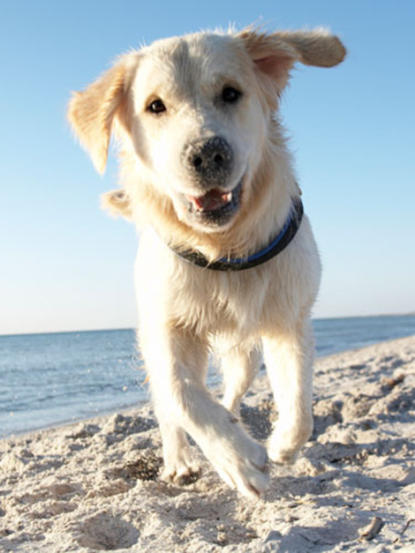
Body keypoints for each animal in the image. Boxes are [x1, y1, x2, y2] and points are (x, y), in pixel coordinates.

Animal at [69, 28, 348, 498]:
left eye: (231, 93)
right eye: (155, 106)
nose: (207, 154)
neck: (224, 250)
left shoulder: (288, 318)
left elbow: (300, 408)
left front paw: (280, 446)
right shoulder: (165, 328)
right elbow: (182, 394)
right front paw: (237, 460)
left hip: (244, 354)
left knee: (230, 392)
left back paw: (233, 418)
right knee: (172, 408)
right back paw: (180, 461)